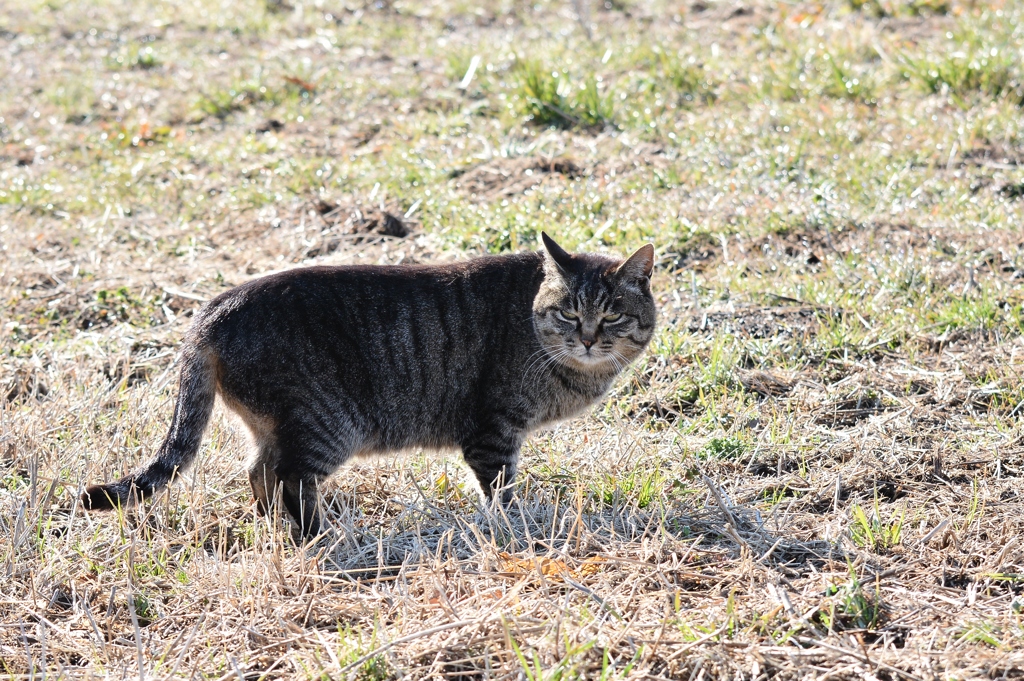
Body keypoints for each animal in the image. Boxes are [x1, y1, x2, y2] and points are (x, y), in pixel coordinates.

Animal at [79, 233, 655, 536]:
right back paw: (321, 535)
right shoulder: (493, 433)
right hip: (328, 423)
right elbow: (501, 492)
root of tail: (211, 310)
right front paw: (514, 529)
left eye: (611, 316)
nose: (586, 340)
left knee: (258, 474)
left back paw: (279, 530)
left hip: (278, 427)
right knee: (288, 479)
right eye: (568, 313)